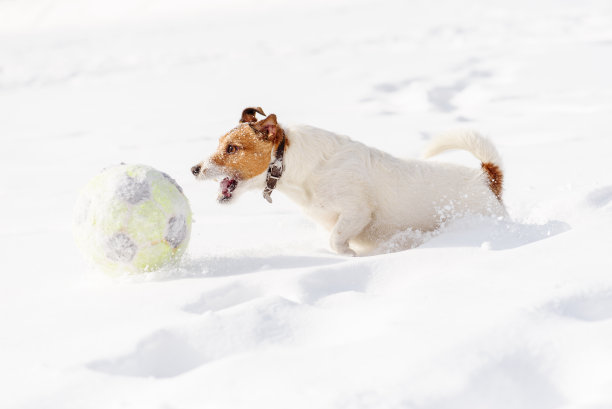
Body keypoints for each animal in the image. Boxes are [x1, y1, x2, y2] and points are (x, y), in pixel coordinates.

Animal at [192, 107, 506, 255]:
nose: (194, 169)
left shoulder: (357, 212)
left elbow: (336, 240)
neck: (297, 165)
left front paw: (350, 255)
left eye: (232, 148)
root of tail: (486, 177)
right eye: (219, 144)